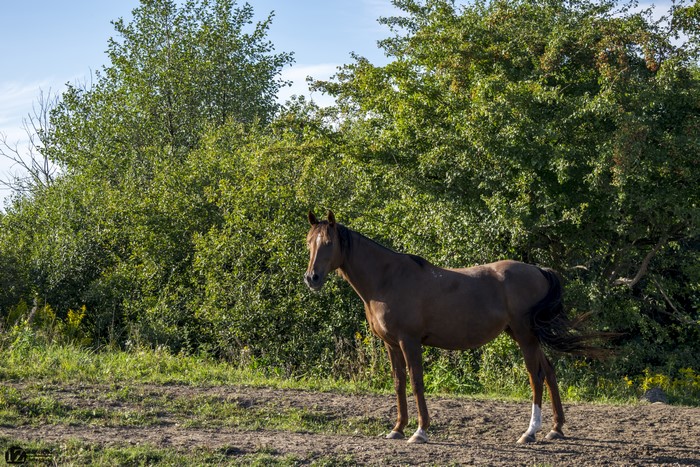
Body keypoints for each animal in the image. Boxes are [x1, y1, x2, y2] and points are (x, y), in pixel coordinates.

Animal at [304, 210, 606, 444]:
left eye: (329, 242)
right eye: (309, 242)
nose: (312, 278)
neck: (387, 279)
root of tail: (539, 270)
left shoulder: (409, 341)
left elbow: (416, 381)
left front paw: (420, 431)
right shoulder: (391, 344)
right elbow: (399, 383)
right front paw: (397, 429)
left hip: (525, 336)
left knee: (536, 376)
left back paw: (530, 432)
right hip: (527, 336)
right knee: (550, 372)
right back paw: (556, 429)